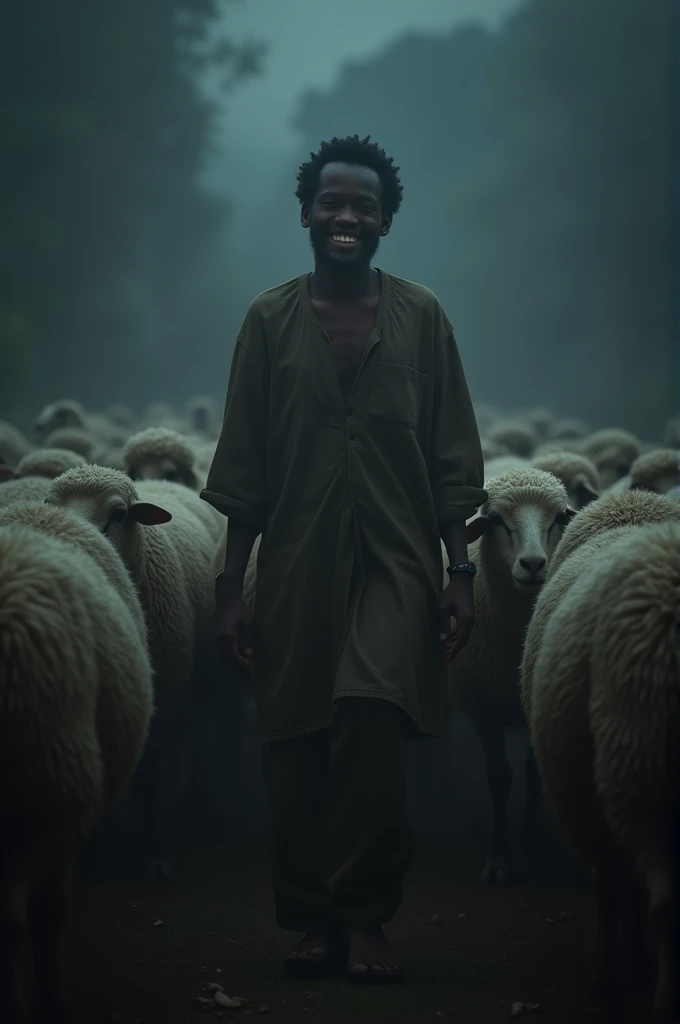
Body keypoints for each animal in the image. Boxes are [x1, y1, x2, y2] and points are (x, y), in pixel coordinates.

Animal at [448, 468, 577, 884]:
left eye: (558, 518)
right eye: (496, 521)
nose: (534, 564)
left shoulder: (537, 702)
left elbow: (532, 774)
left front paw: (533, 844)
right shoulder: (482, 707)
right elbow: (500, 777)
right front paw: (499, 855)